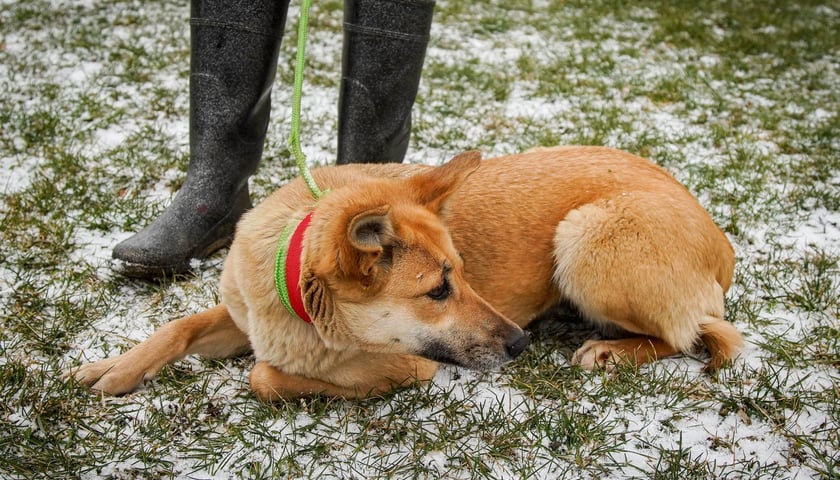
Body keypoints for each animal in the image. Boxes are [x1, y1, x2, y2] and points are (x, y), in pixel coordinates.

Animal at [67, 147, 748, 402]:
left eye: (462, 276)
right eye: (439, 289)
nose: (520, 345)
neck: (294, 298)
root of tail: (722, 241)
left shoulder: (403, 363)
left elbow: (263, 376)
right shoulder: (242, 317)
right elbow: (176, 328)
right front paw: (114, 369)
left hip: (582, 239)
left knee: (693, 334)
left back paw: (612, 350)